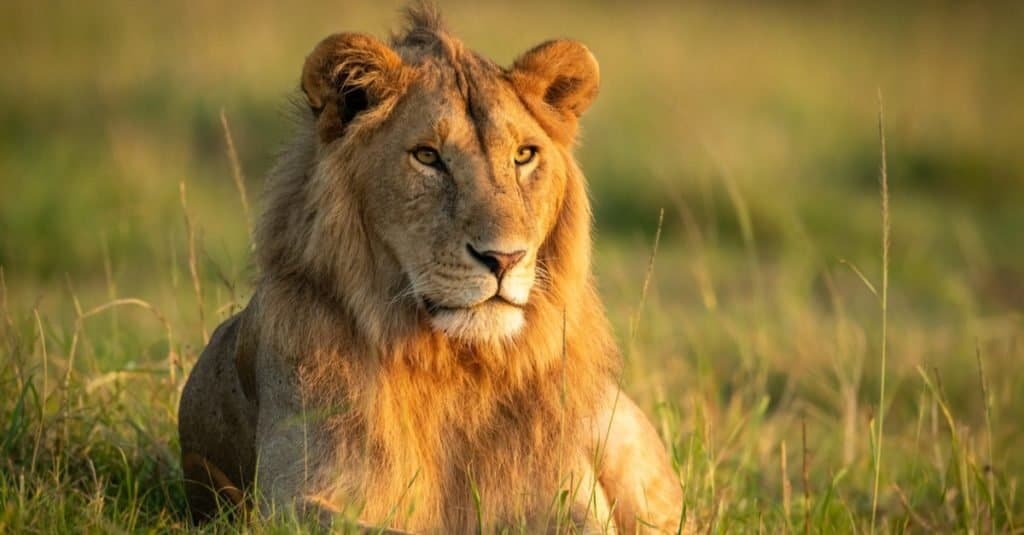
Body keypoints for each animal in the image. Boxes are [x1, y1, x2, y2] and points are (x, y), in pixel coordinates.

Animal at [180, 5, 684, 532]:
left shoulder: (568, 497)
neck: (459, 367)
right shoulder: (292, 498)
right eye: (427, 156)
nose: (505, 258)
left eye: (524, 155)